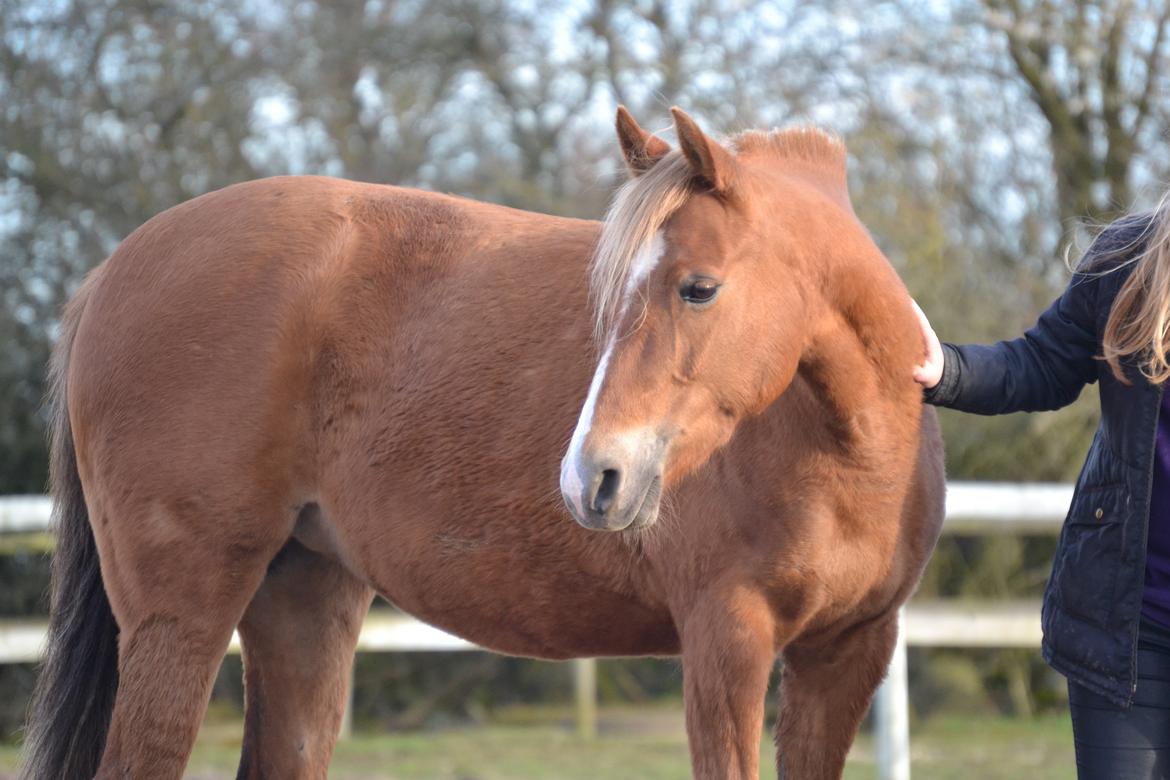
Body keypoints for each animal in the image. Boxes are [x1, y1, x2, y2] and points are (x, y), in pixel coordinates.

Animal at [20, 108, 940, 780]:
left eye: (698, 288)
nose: (591, 477)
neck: (838, 449)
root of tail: (107, 274)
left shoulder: (848, 654)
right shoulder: (727, 645)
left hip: (303, 594)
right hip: (181, 616)